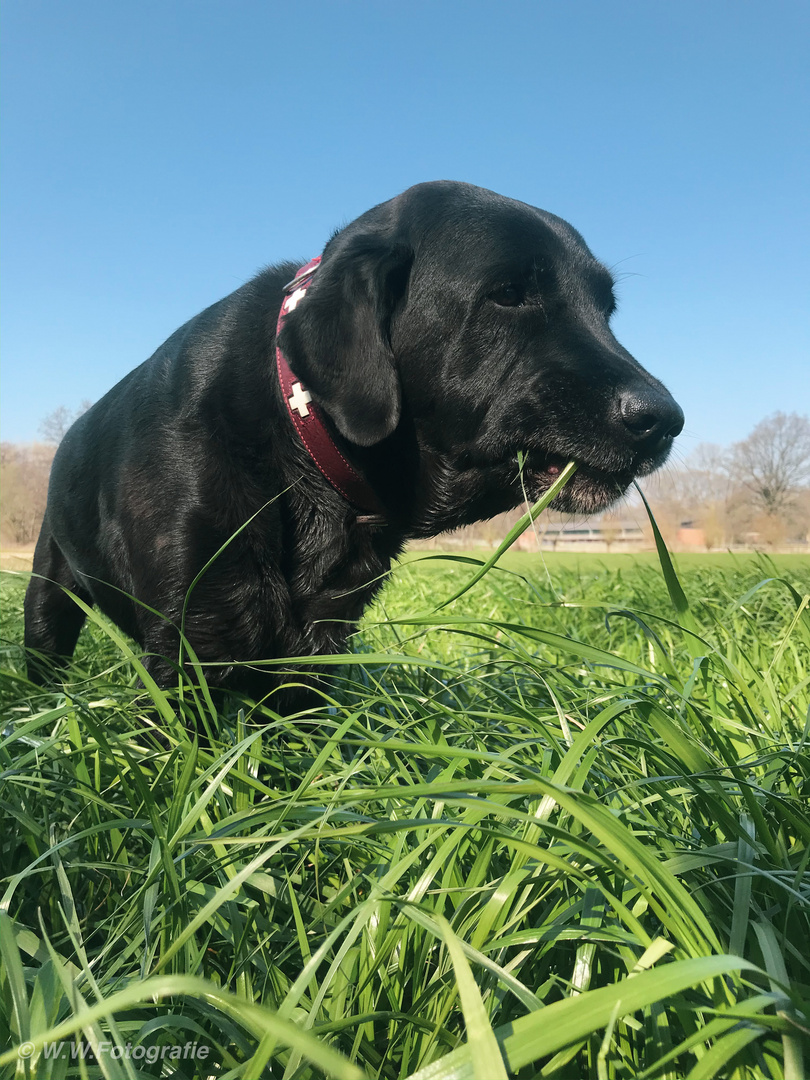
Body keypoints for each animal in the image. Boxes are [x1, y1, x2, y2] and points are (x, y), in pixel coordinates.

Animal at [23, 183, 686, 708]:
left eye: (606, 308)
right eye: (508, 292)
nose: (664, 418)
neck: (301, 443)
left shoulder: (317, 655)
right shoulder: (190, 651)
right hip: (46, 596)